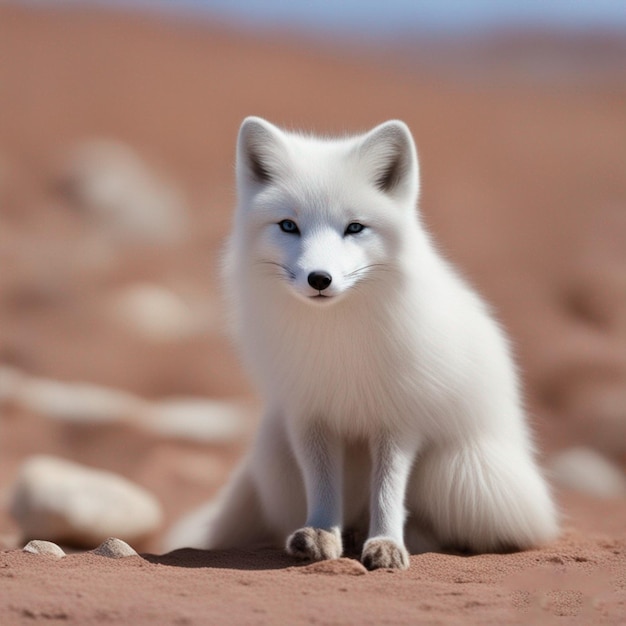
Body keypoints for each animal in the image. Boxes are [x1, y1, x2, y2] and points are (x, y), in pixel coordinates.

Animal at [182, 114, 556, 568]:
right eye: (289, 225)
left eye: (354, 227)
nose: (319, 279)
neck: (338, 337)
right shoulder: (309, 413)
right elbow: (323, 485)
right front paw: (322, 533)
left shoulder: (399, 418)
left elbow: (389, 490)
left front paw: (387, 543)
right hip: (276, 455)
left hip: (460, 471)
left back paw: (401, 536)